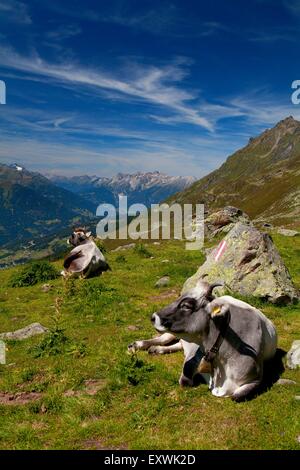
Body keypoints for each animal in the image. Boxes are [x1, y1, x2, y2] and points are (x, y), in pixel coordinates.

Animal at [127, 280, 278, 402]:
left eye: (186, 306)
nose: (153, 317)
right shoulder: (196, 352)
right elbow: (185, 379)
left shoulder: (256, 378)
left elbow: (237, 395)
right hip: (171, 334)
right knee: (163, 339)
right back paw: (137, 345)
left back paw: (156, 350)